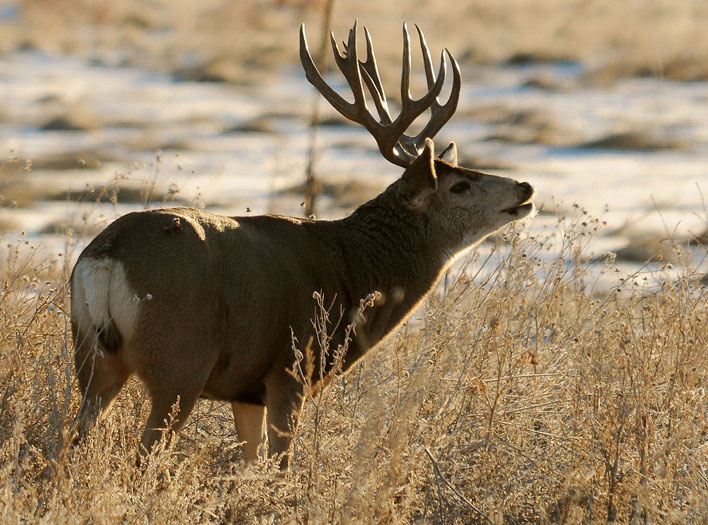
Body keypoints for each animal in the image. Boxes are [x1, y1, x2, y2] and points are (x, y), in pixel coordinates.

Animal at [72, 22, 536, 468]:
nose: (525, 186)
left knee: (70, 441)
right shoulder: (289, 369)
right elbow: (279, 466)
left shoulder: (246, 390)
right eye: (459, 185)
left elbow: (249, 463)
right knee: (143, 453)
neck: (353, 268)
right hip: (180, 359)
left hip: (91, 356)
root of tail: (106, 256)